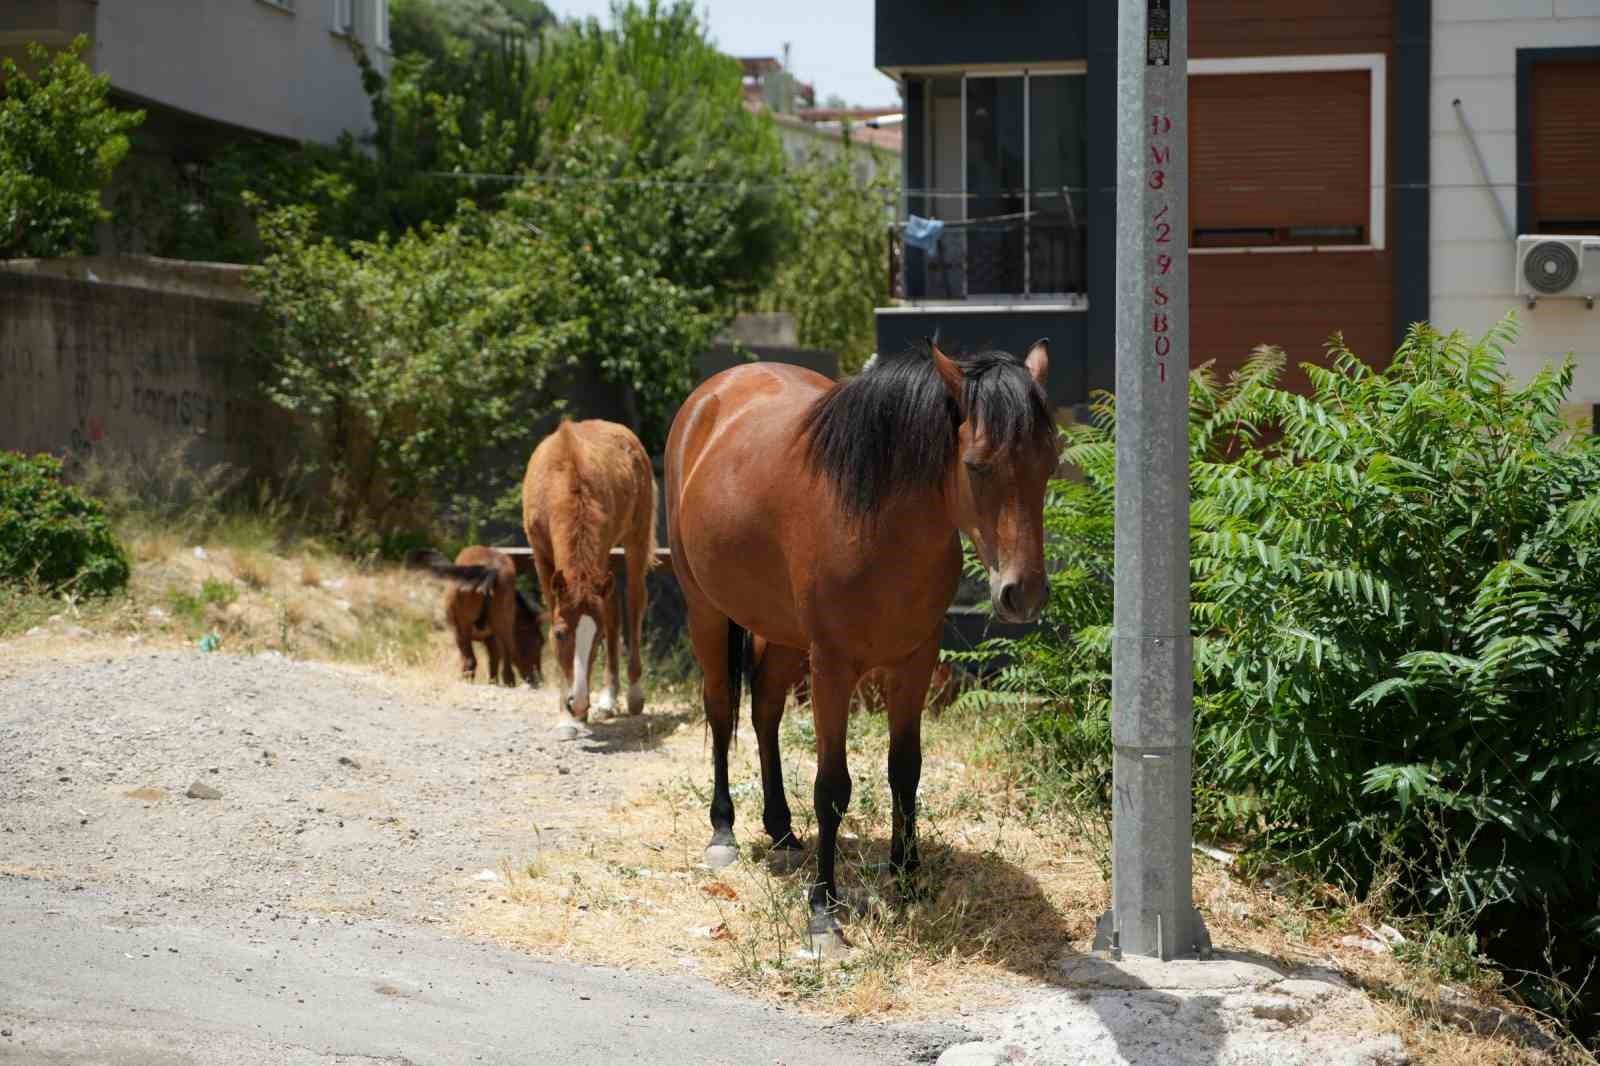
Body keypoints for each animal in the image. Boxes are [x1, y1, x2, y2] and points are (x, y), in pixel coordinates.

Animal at [406, 544, 544, 685]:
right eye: (539, 643)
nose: (538, 680)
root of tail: (490, 568)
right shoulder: (492, 639)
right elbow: (494, 662)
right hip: (503, 626)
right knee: (506, 669)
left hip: (463, 629)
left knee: (470, 661)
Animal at [518, 419, 656, 736]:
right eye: (560, 633)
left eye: (597, 637)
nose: (579, 703)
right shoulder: (541, 554)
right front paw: (568, 718)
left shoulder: (601, 548)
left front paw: (575, 714)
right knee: (614, 608)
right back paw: (607, 700)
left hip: (636, 539)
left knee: (634, 602)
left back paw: (632, 694)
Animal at [656, 336, 1056, 941]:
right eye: (976, 466)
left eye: (1050, 464)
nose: (1023, 594)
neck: (878, 525)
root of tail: (714, 393)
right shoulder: (833, 667)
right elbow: (832, 786)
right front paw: (824, 909)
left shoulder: (915, 662)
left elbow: (905, 771)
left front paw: (908, 877)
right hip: (707, 609)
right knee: (722, 709)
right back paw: (723, 831)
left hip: (782, 631)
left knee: (765, 711)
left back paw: (781, 832)